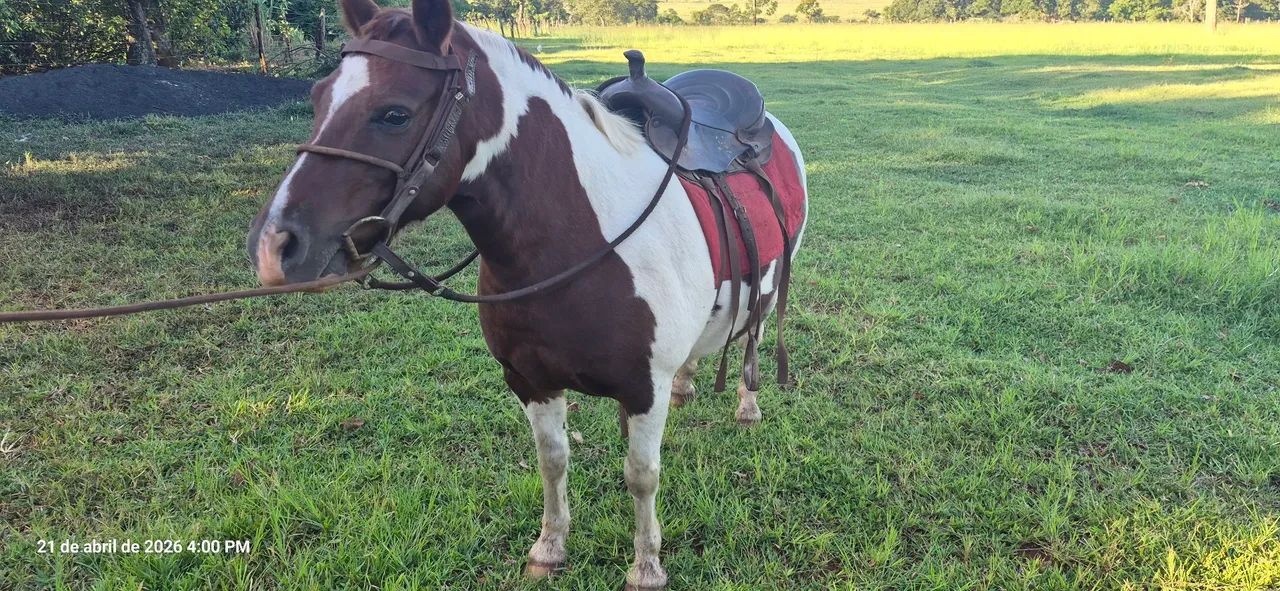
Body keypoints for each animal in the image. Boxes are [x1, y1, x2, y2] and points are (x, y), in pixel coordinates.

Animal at [244, 0, 808, 586]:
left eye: (394, 114)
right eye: (318, 98)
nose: (273, 246)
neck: (582, 241)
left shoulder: (642, 388)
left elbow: (641, 475)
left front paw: (646, 566)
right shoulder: (530, 381)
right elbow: (553, 461)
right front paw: (550, 548)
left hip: (769, 285)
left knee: (754, 334)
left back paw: (748, 403)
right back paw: (689, 383)